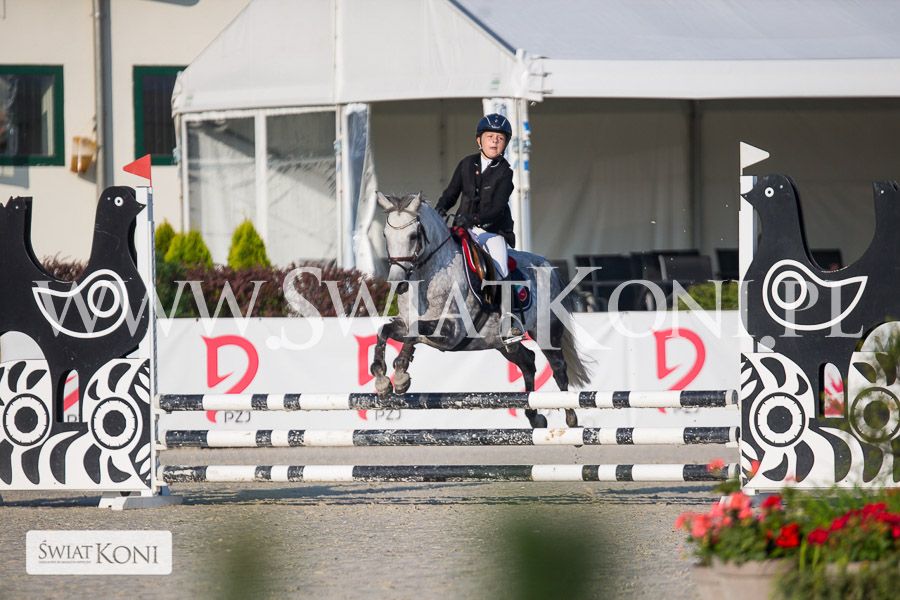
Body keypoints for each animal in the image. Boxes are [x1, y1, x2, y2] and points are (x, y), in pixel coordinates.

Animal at [370, 191, 591, 428]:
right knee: (528, 361)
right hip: (501, 344)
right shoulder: (408, 326)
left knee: (558, 367)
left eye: (413, 236)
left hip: (546, 331)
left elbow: (415, 329)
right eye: (384, 235)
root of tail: (547, 264)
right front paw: (382, 378)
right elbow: (387, 330)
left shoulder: (451, 331)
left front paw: (401, 375)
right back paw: (535, 417)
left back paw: (571, 418)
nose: (397, 284)